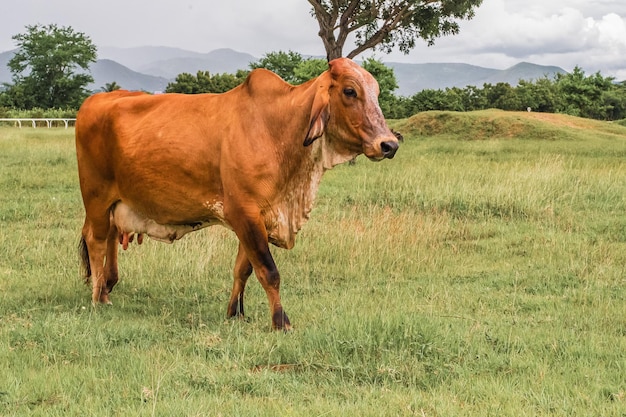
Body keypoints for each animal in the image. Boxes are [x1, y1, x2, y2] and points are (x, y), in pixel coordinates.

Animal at [77, 57, 394, 328]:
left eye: (377, 92)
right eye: (350, 91)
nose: (389, 144)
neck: (278, 129)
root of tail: (94, 100)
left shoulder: (256, 218)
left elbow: (244, 269)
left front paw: (235, 314)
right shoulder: (244, 212)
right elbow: (269, 271)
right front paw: (280, 322)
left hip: (115, 205)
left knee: (108, 240)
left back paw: (105, 292)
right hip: (96, 198)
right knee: (95, 240)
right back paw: (96, 298)